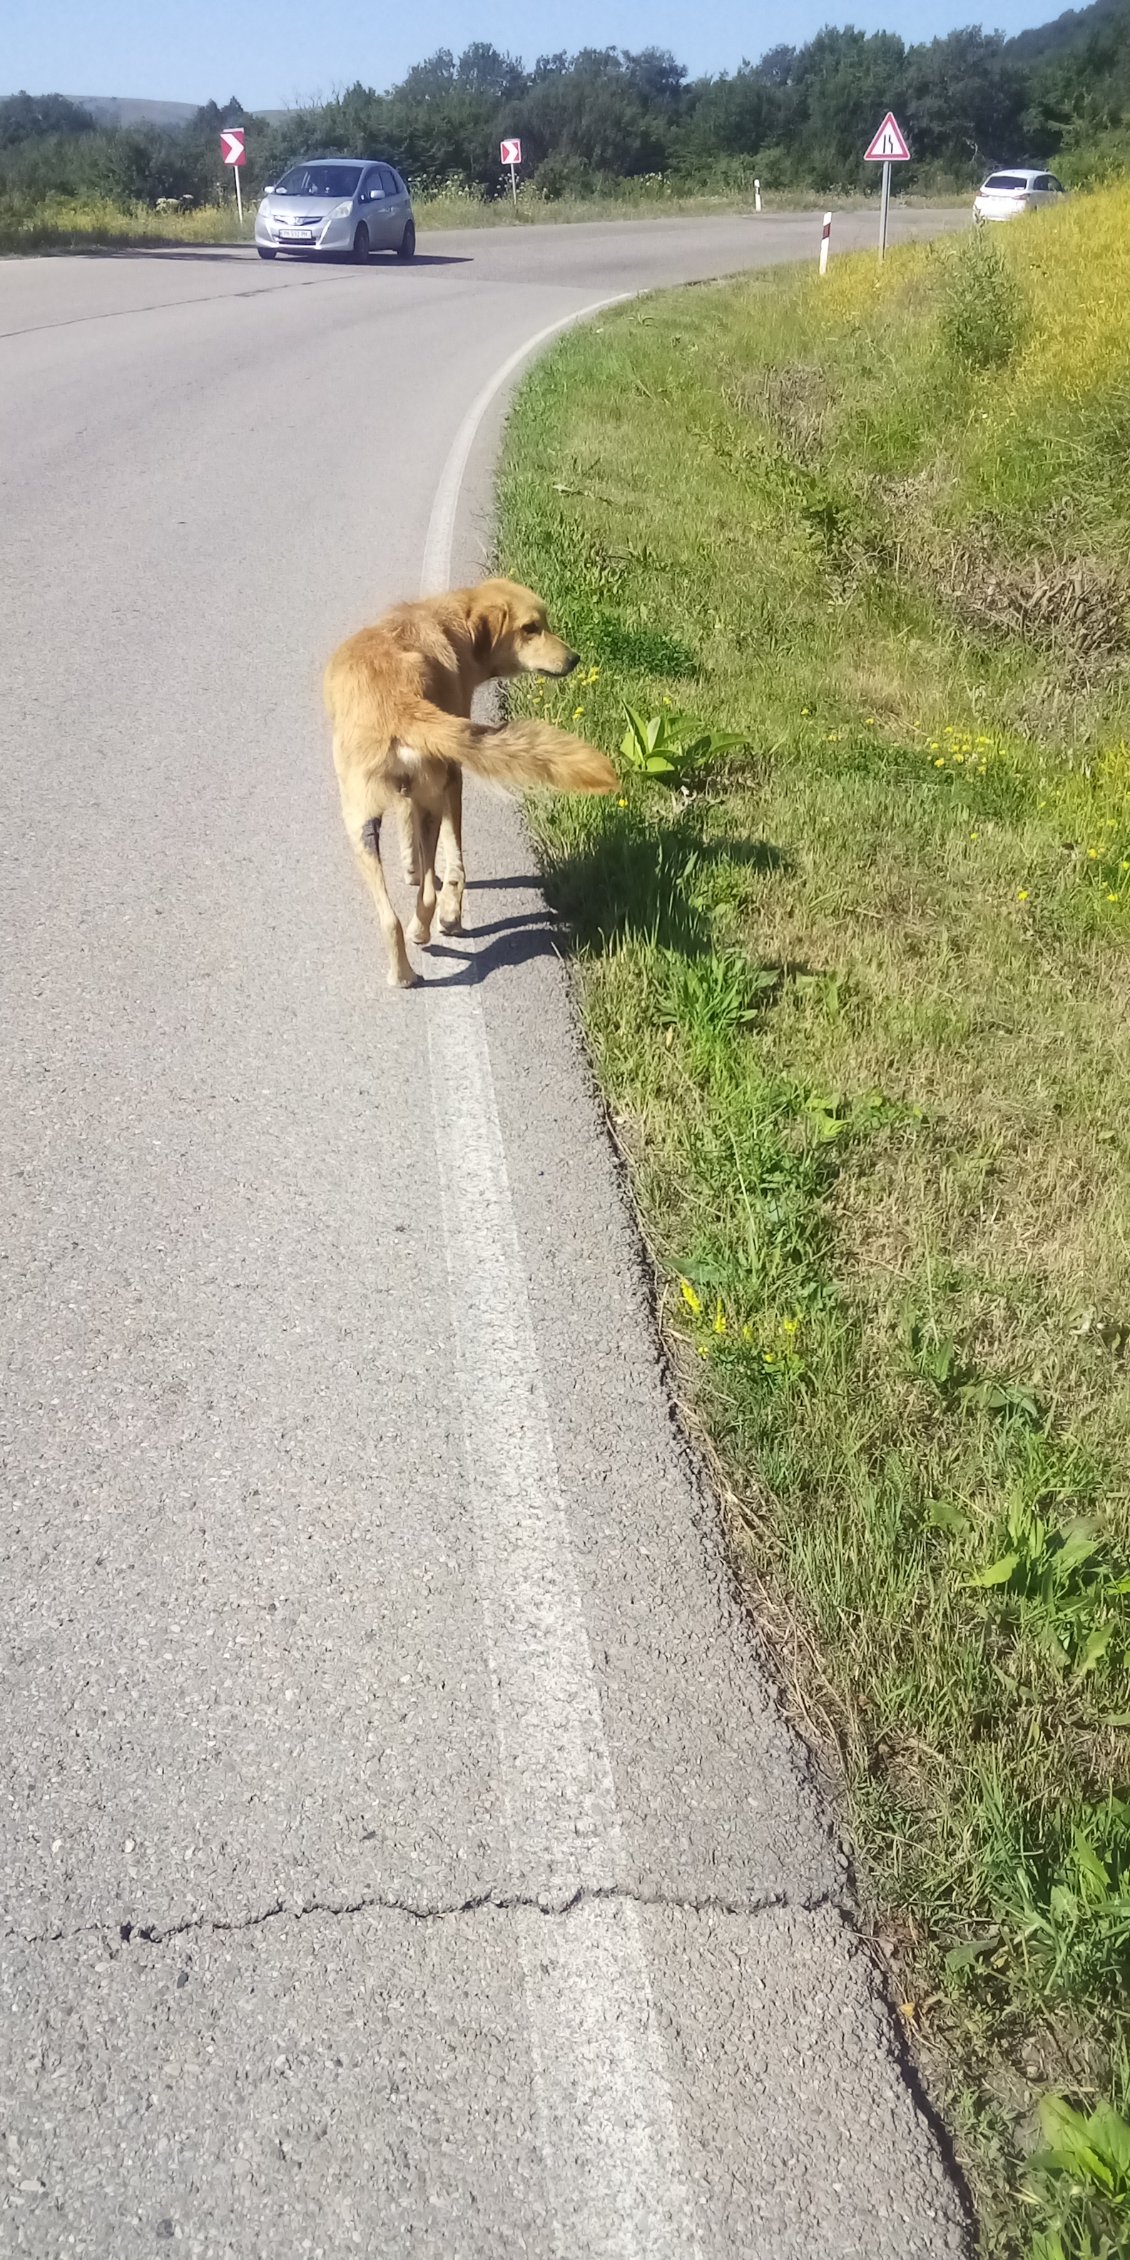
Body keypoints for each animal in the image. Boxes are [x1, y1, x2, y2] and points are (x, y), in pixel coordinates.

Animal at [323, 578, 623, 985]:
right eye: (531, 628)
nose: (574, 659)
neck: (451, 622)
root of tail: (399, 703)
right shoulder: (432, 789)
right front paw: (416, 874)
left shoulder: (447, 784)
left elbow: (446, 861)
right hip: (378, 817)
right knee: (397, 914)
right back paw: (408, 964)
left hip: (391, 812)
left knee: (414, 903)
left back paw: (416, 946)